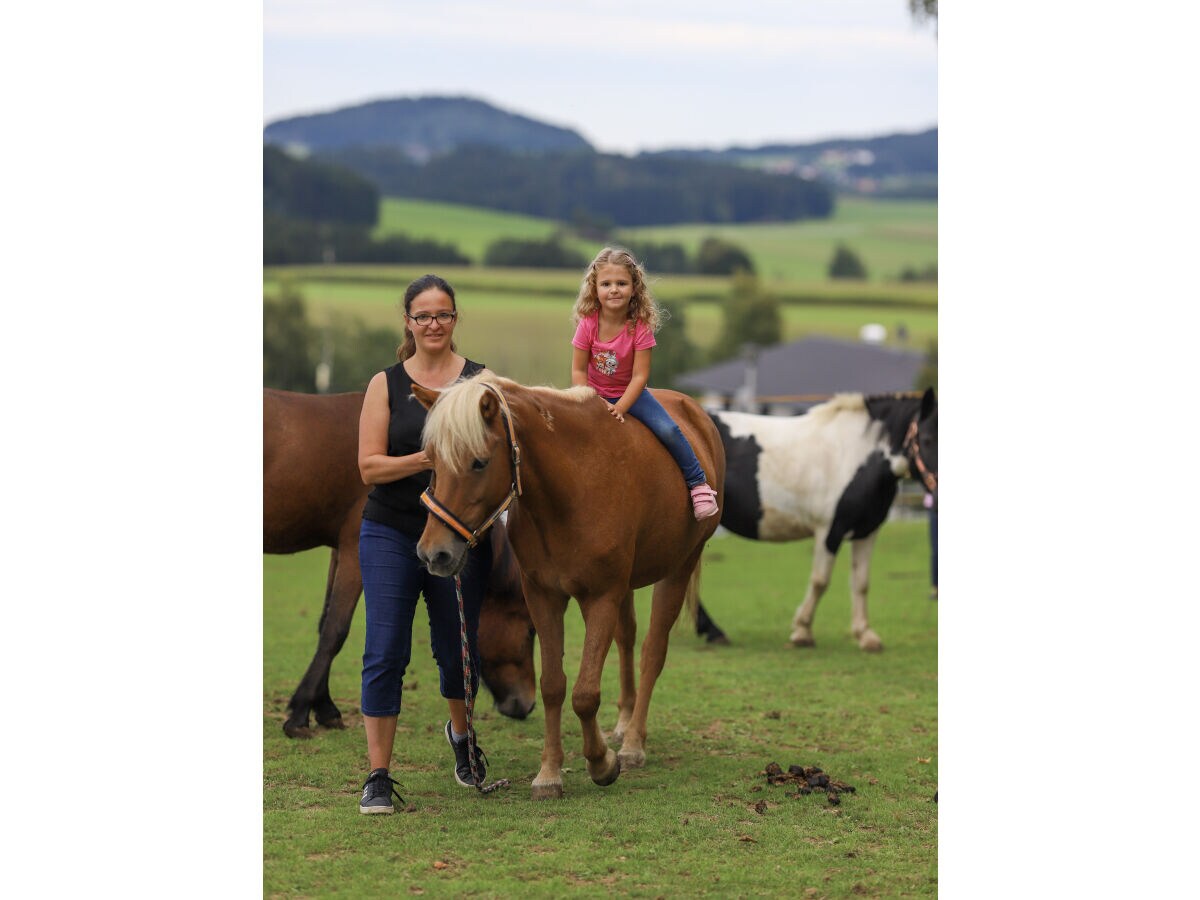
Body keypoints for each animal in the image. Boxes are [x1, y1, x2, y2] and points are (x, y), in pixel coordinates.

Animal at [270, 388, 542, 739]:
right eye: (529, 630)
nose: (526, 704)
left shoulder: (339, 550)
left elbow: (324, 623)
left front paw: (324, 707)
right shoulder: (353, 549)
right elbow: (335, 630)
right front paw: (299, 713)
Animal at [412, 374, 720, 801]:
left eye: (479, 462)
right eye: (431, 461)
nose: (433, 553)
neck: (573, 485)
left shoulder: (600, 597)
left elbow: (585, 693)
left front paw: (602, 763)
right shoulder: (543, 596)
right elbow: (554, 685)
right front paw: (549, 773)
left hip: (678, 570)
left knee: (652, 652)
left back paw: (633, 743)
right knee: (627, 639)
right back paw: (623, 724)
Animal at [696, 386, 936, 648]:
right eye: (926, 439)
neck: (855, 454)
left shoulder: (866, 532)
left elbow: (861, 582)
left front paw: (865, 635)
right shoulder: (828, 531)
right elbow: (820, 581)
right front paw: (802, 631)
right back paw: (713, 631)